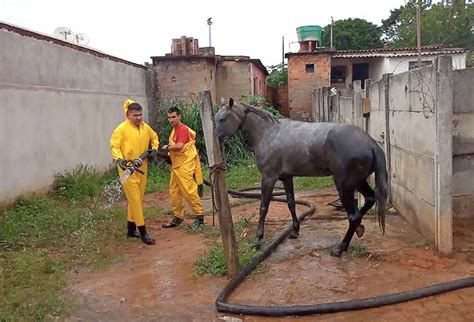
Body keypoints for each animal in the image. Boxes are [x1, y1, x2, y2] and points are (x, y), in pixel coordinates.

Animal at [216, 98, 388, 256]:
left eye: (222, 119)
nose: (216, 141)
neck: (269, 134)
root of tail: (372, 144)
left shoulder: (268, 178)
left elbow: (263, 208)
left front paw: (257, 240)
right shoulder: (286, 178)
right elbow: (291, 203)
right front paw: (295, 231)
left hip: (344, 185)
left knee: (353, 216)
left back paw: (340, 248)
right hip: (358, 182)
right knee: (369, 200)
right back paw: (359, 229)